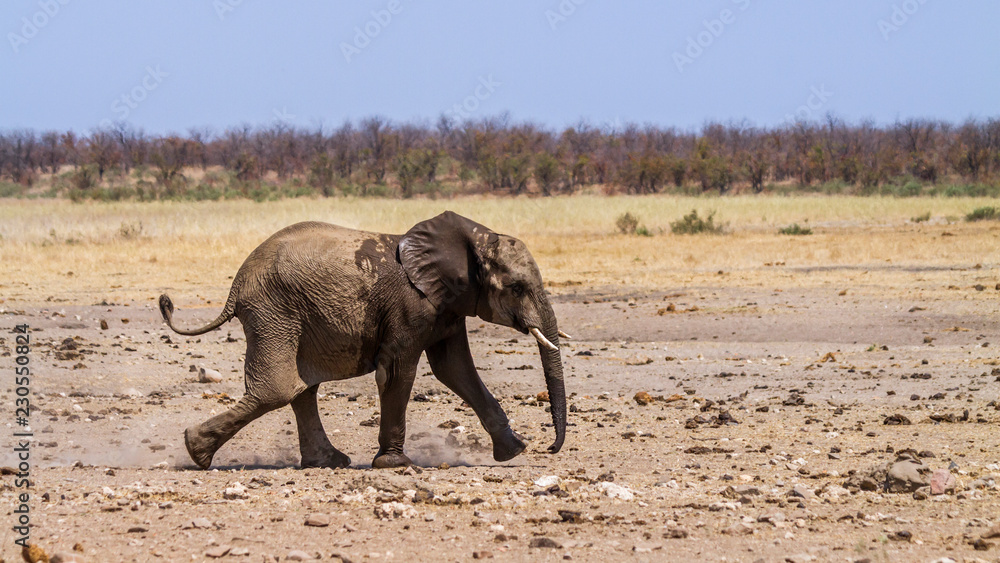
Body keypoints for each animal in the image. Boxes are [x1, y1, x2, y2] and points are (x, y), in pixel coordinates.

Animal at [158, 211, 567, 470]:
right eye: (517, 287)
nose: (550, 448)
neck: (473, 237)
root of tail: (236, 286)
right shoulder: (410, 306)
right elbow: (398, 371)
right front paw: (396, 464)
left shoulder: (446, 307)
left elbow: (456, 371)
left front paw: (514, 452)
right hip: (273, 311)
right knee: (277, 390)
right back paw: (195, 451)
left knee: (300, 389)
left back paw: (328, 462)